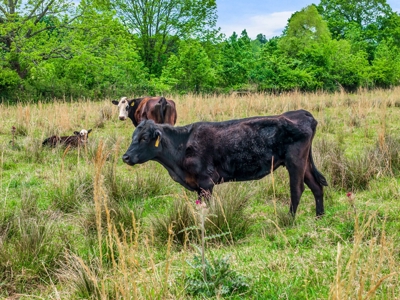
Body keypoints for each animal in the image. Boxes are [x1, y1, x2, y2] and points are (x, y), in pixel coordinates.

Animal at [122, 109, 328, 217]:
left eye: (144, 138)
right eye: (133, 137)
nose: (125, 157)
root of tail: (301, 113)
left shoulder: (206, 182)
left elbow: (207, 207)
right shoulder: (198, 186)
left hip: (295, 161)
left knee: (297, 189)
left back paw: (288, 220)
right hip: (304, 163)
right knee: (316, 186)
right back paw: (319, 216)